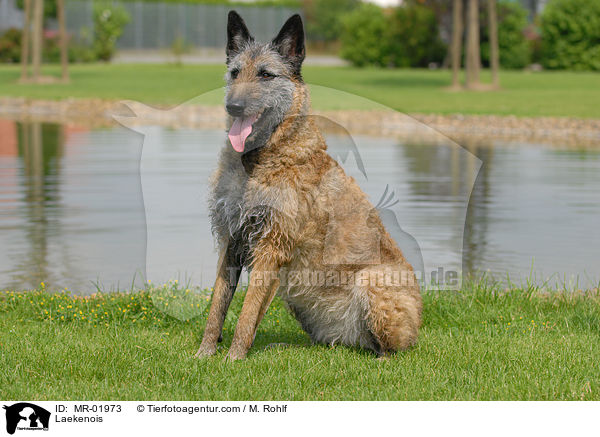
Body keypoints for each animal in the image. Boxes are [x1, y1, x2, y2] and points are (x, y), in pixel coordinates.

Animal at [197, 11, 422, 362]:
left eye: (266, 75)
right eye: (235, 72)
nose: (233, 107)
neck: (258, 159)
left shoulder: (270, 248)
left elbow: (246, 313)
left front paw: (233, 359)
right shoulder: (232, 242)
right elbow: (217, 307)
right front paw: (205, 353)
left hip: (371, 278)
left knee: (391, 349)